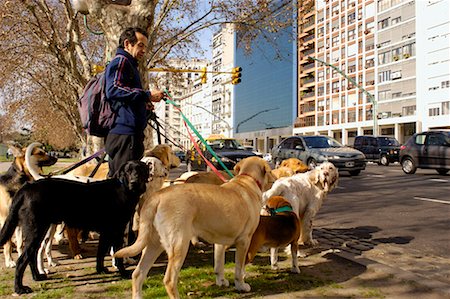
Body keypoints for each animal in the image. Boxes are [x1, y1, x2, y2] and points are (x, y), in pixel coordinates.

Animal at [0, 161, 150, 294]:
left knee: (31, 256)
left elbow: (101, 252)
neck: (123, 188)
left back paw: (37, 277)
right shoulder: (116, 230)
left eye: (140, 171)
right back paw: (19, 289)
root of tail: (26, 188)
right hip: (36, 231)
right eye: (128, 171)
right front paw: (123, 273)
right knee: (21, 260)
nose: (134, 182)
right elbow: (118, 255)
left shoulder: (106, 232)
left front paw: (100, 270)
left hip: (38, 231)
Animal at [112, 157, 274, 299]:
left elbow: (219, 265)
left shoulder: (220, 242)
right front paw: (241, 285)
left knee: (138, 274)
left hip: (153, 244)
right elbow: (239, 269)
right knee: (169, 280)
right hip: (179, 245)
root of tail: (157, 196)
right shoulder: (244, 241)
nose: (274, 177)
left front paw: (221, 281)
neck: (247, 180)